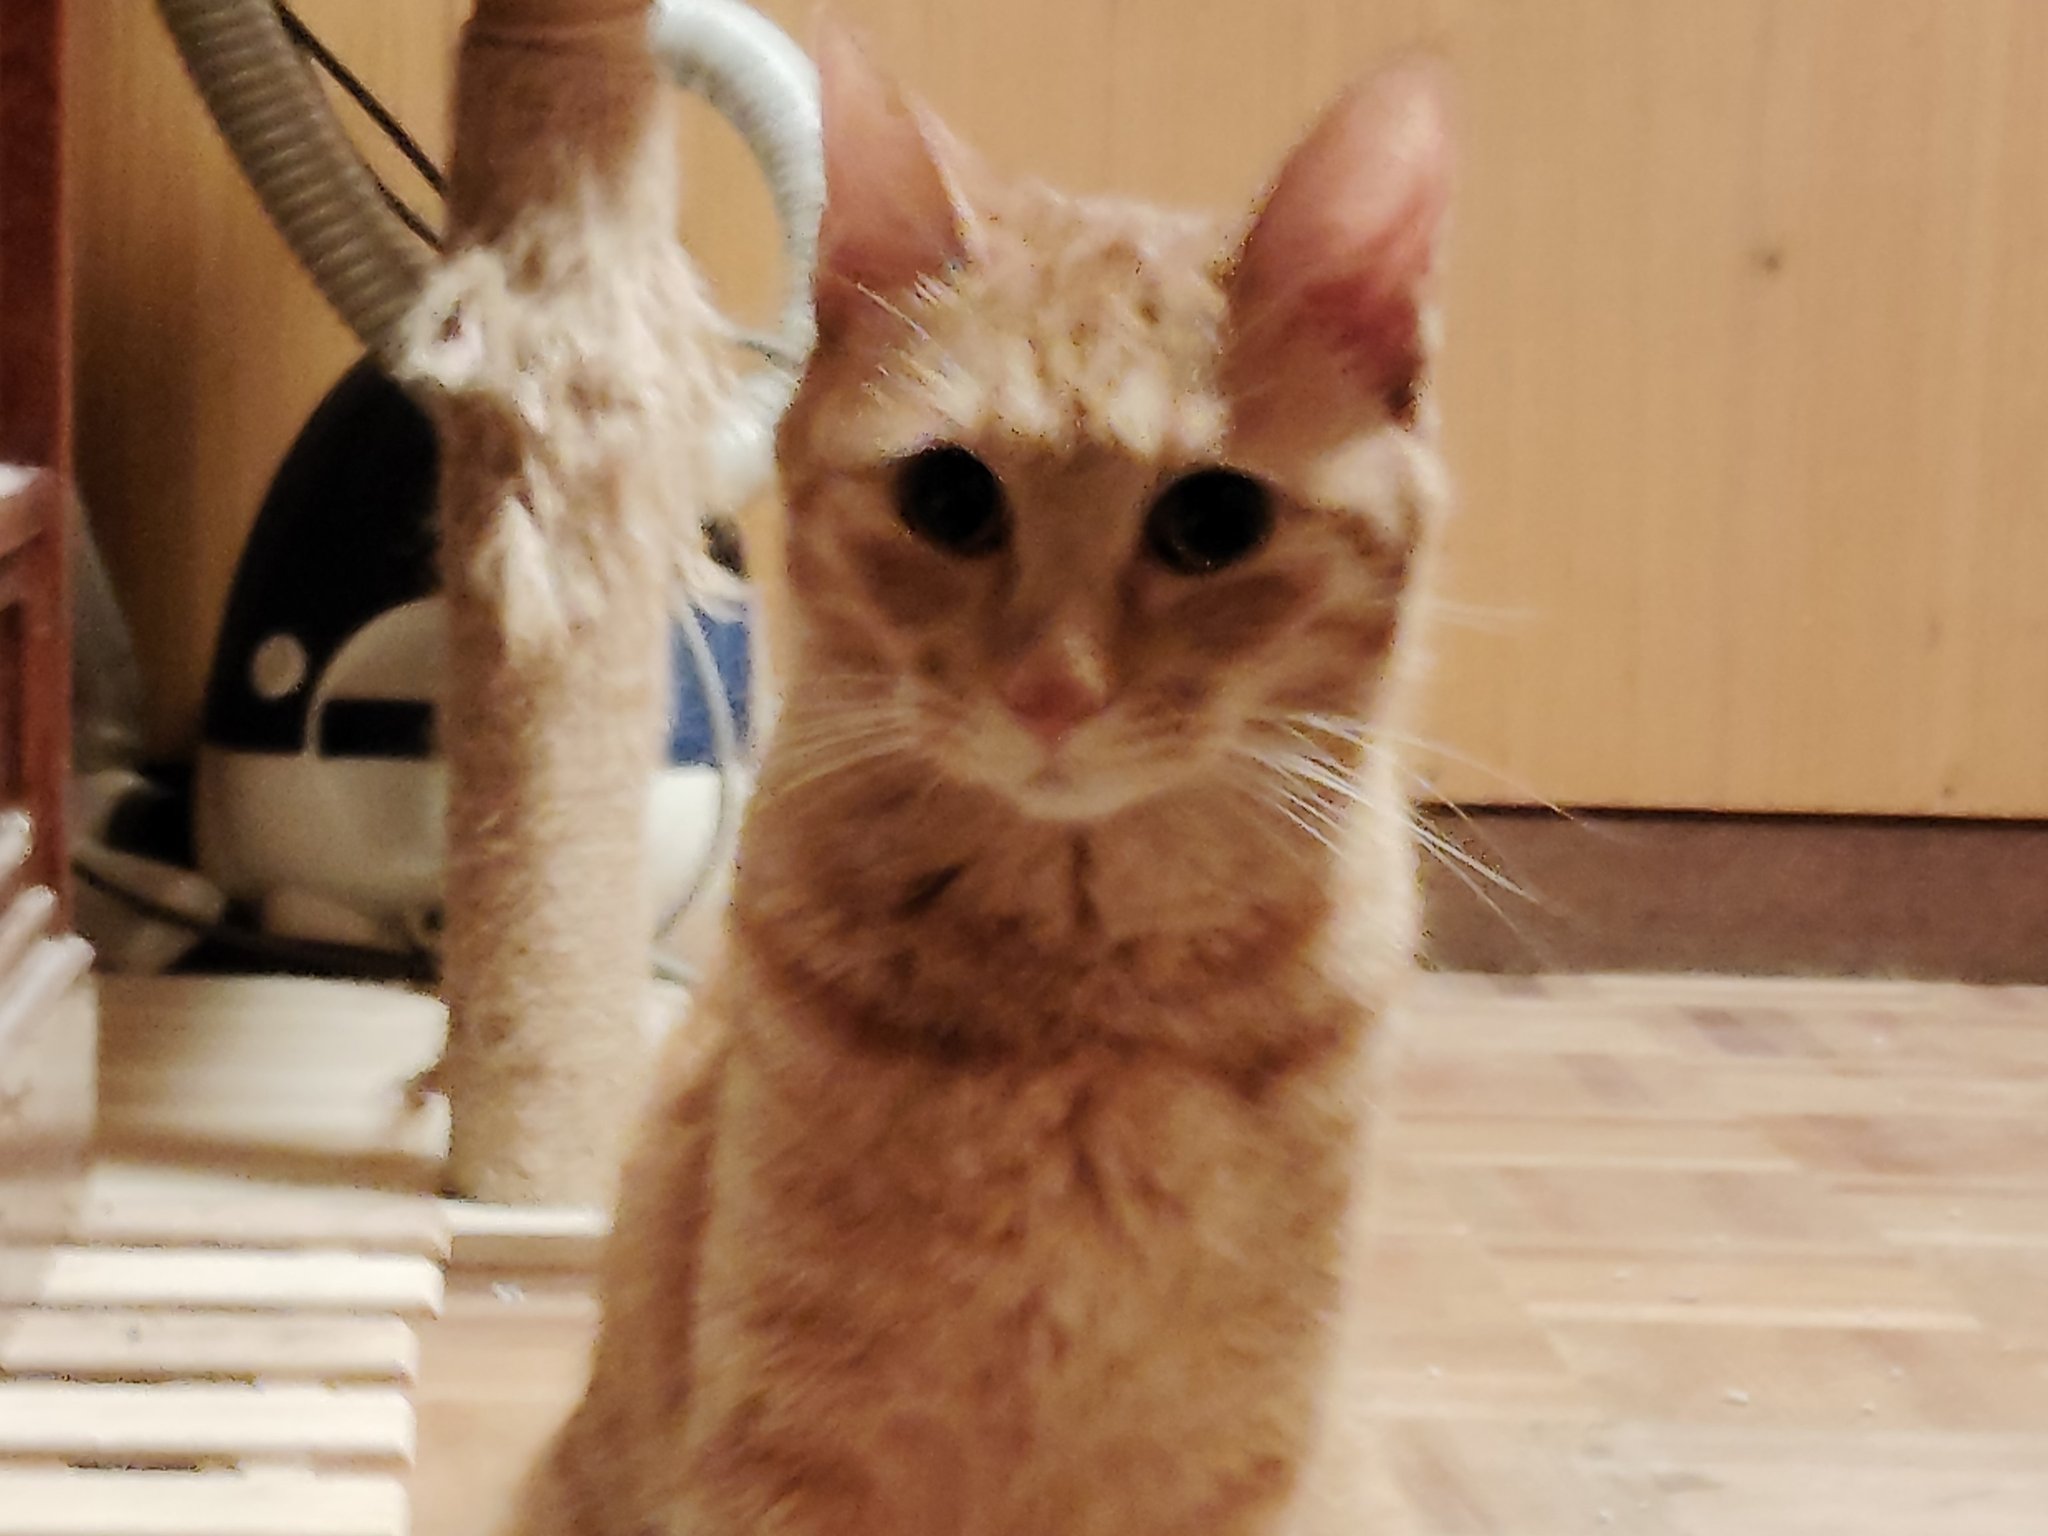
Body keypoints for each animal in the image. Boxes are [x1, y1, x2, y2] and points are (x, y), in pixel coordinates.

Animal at [501, 22, 1451, 1536]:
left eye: (1213, 520)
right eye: (947, 500)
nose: (1050, 691)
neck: (1081, 998)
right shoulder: (784, 1457)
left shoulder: (1235, 1468)